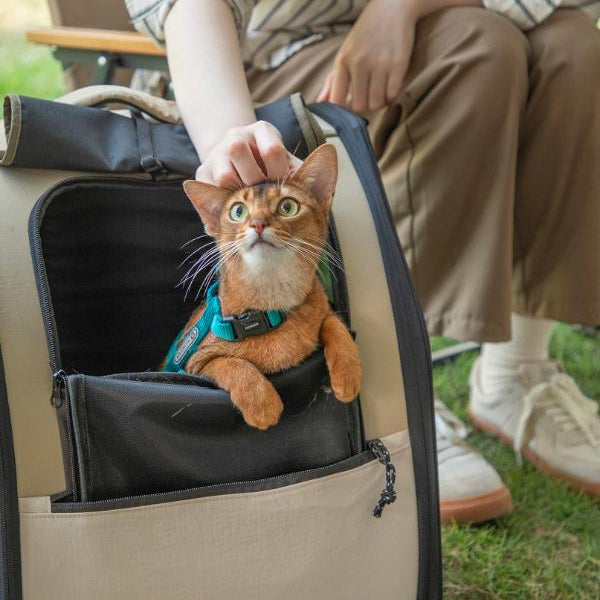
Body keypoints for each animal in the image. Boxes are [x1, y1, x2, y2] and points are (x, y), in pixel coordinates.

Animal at [173, 143, 360, 428]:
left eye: (287, 207)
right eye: (238, 211)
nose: (258, 223)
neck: (272, 305)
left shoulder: (321, 305)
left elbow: (333, 322)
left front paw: (348, 374)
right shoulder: (194, 364)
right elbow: (228, 363)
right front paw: (262, 404)